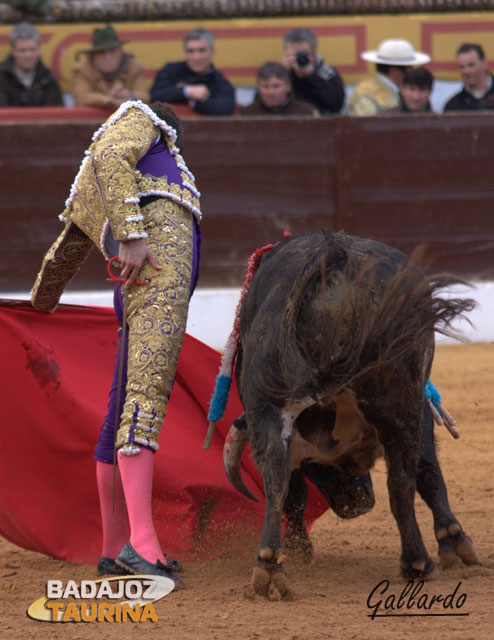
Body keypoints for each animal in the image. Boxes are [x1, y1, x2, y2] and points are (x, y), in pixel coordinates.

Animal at [222, 231, 480, 600]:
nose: (358, 504)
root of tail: (333, 254)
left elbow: (292, 491)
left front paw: (299, 551)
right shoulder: (420, 407)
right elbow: (428, 471)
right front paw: (453, 542)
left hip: (269, 405)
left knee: (275, 476)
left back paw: (269, 568)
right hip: (399, 404)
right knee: (401, 481)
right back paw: (417, 563)